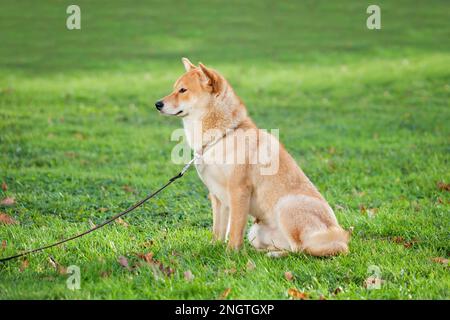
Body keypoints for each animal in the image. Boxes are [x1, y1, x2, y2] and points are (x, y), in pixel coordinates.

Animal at [156, 58, 350, 258]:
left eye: (183, 90)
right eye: (174, 88)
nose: (157, 104)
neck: (222, 136)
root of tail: (336, 236)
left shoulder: (239, 190)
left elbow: (235, 228)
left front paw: (231, 253)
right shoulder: (217, 196)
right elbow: (218, 230)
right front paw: (213, 248)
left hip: (286, 206)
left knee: (300, 249)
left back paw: (272, 255)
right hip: (256, 232)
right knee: (288, 246)